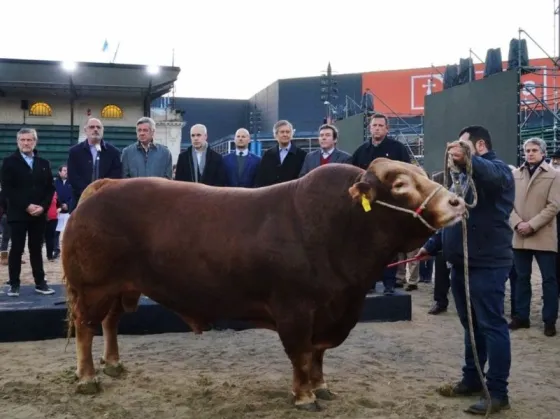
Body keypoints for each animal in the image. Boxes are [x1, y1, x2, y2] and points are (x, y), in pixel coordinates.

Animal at [61, 159, 466, 412]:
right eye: (400, 184)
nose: (457, 201)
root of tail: (105, 186)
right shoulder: (296, 311)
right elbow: (301, 354)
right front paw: (304, 396)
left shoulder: (330, 311)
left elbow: (317, 355)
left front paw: (321, 386)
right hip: (93, 288)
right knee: (85, 327)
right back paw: (87, 378)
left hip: (119, 287)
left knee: (111, 322)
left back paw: (113, 364)